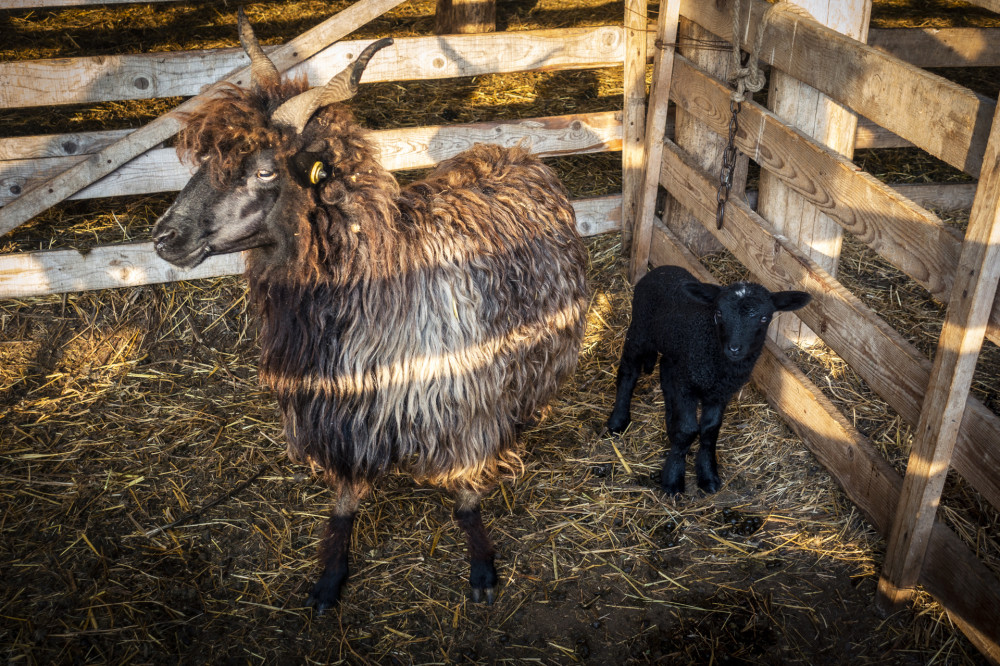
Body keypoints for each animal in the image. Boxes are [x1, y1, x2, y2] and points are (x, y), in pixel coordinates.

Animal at [600, 264, 812, 492]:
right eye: (718, 313)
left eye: (764, 318)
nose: (734, 348)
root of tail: (663, 268)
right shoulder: (687, 386)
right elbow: (688, 429)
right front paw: (673, 478)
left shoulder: (719, 393)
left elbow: (710, 430)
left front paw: (708, 475)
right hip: (640, 330)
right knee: (628, 371)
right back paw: (618, 420)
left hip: (674, 355)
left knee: (665, 373)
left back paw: (668, 423)